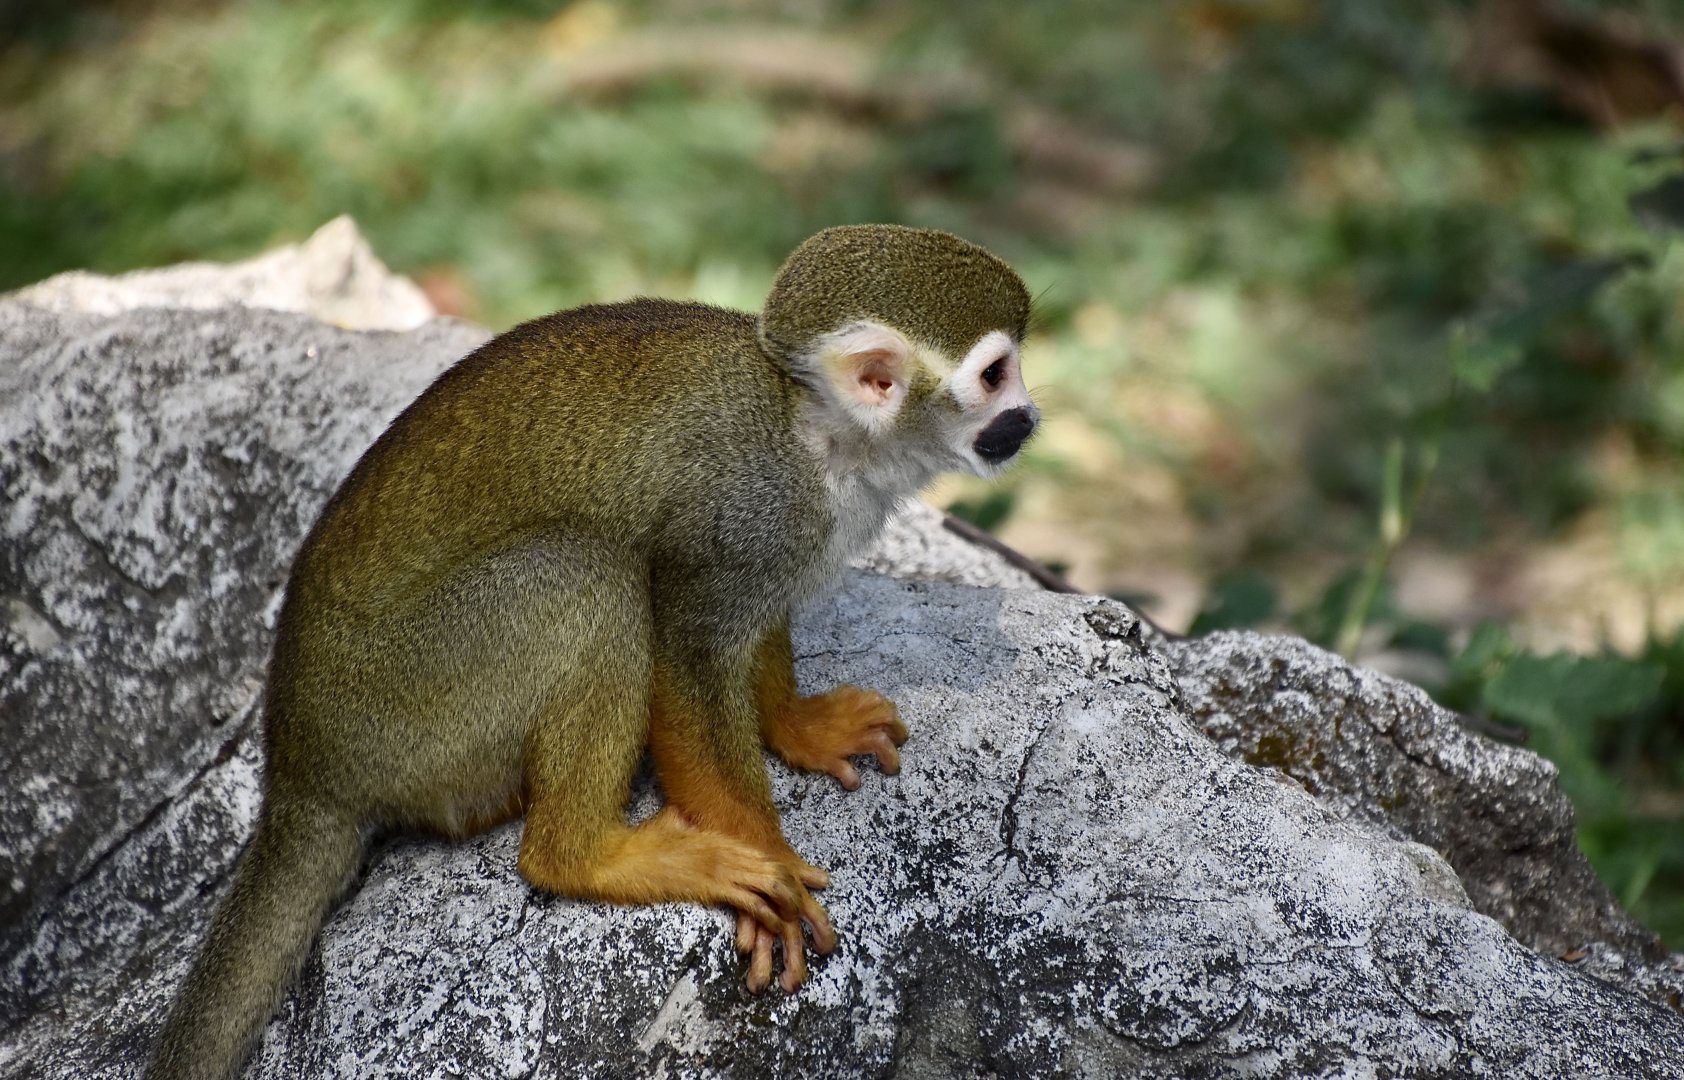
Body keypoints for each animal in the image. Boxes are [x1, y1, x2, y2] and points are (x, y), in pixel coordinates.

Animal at [147, 224, 1038, 1080]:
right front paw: (770, 857)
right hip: (401, 705)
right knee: (586, 577)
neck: (815, 431)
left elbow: (746, 628)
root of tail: (296, 768)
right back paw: (584, 856)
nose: (1028, 418)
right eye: (997, 375)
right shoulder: (755, 502)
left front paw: (798, 727)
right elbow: (688, 647)